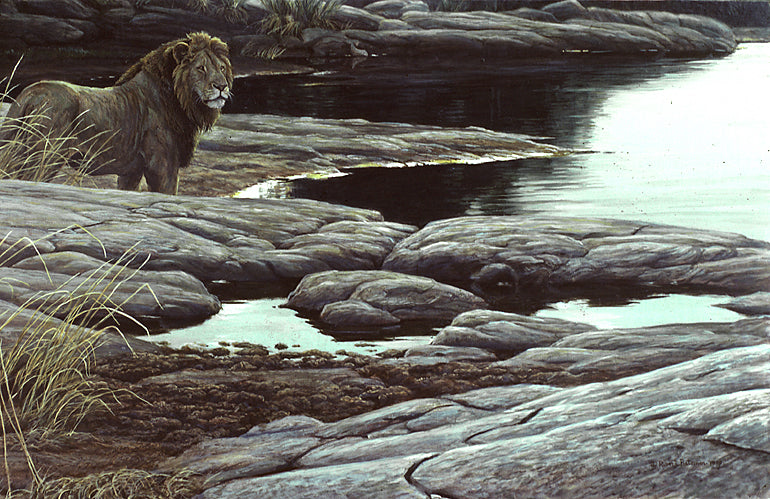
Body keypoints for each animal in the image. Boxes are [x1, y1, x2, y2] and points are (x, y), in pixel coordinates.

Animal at [2, 32, 233, 194]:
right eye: (201, 68)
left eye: (222, 68)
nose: (222, 86)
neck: (181, 102)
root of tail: (29, 93)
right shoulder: (161, 165)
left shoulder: (132, 171)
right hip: (44, 153)